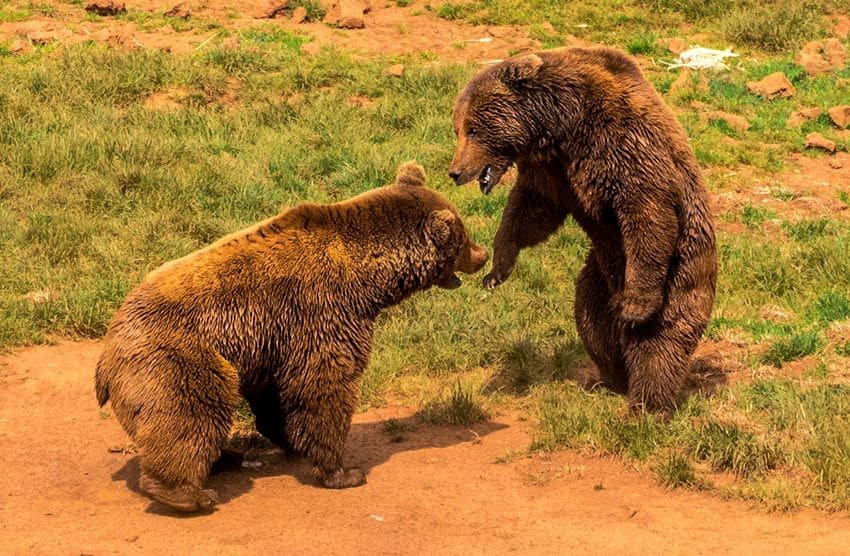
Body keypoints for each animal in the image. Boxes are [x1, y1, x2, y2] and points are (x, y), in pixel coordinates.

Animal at [93, 163, 484, 516]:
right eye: (463, 235)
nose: (481, 256)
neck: (366, 280)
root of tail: (106, 354)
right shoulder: (320, 310)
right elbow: (323, 384)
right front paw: (343, 471)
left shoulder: (271, 341)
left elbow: (277, 394)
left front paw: (290, 439)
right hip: (179, 356)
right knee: (191, 410)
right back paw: (188, 494)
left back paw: (225, 457)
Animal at [448, 47, 720, 412]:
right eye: (459, 129)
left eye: (474, 128)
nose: (456, 171)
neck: (561, 122)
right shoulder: (551, 168)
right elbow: (532, 209)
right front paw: (496, 270)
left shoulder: (619, 140)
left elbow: (646, 209)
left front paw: (636, 308)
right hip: (599, 275)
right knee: (592, 321)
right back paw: (612, 378)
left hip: (682, 269)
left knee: (661, 339)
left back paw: (646, 404)